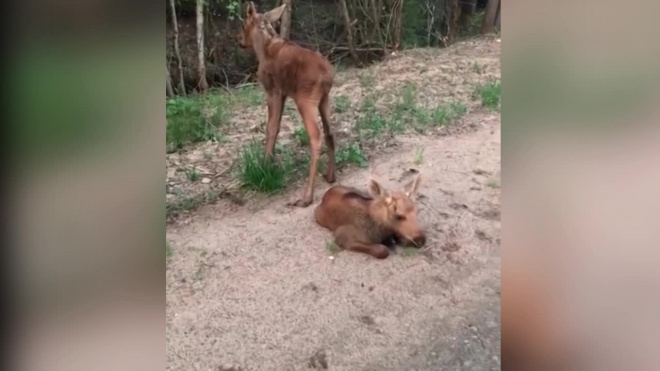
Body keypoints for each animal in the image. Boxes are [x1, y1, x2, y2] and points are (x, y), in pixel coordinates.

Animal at [237, 1, 338, 208]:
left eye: (243, 24)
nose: (238, 39)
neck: (262, 48)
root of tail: (327, 74)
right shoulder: (283, 93)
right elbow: (276, 128)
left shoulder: (272, 91)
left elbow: (271, 129)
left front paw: (265, 166)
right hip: (324, 98)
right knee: (330, 131)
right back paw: (331, 175)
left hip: (305, 100)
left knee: (316, 137)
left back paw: (307, 196)